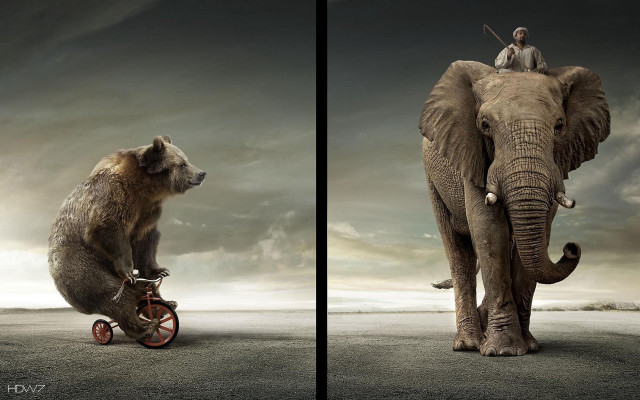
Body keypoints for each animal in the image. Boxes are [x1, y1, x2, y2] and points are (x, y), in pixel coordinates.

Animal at [48, 135, 206, 340]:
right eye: (182, 163)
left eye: (186, 159)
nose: (202, 173)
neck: (145, 187)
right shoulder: (115, 195)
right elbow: (108, 227)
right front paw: (129, 271)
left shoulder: (147, 211)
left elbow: (146, 241)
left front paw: (160, 271)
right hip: (78, 262)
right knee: (111, 293)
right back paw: (144, 327)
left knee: (140, 291)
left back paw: (165, 305)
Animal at [420, 61, 610, 356]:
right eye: (485, 125)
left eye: (559, 125)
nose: (571, 247)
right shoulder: (473, 154)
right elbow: (488, 229)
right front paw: (503, 351)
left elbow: (537, 235)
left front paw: (529, 346)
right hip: (433, 179)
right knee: (458, 252)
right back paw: (469, 344)